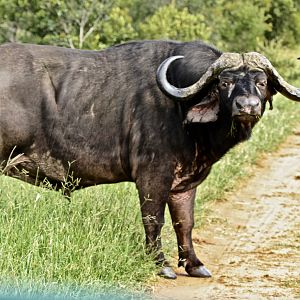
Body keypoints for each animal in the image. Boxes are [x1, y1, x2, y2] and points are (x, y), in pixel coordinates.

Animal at [0, 40, 300, 278]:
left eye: (262, 82)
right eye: (225, 82)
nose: (247, 106)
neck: (182, 109)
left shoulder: (184, 183)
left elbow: (185, 222)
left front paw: (193, 264)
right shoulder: (153, 175)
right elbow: (154, 219)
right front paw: (161, 264)